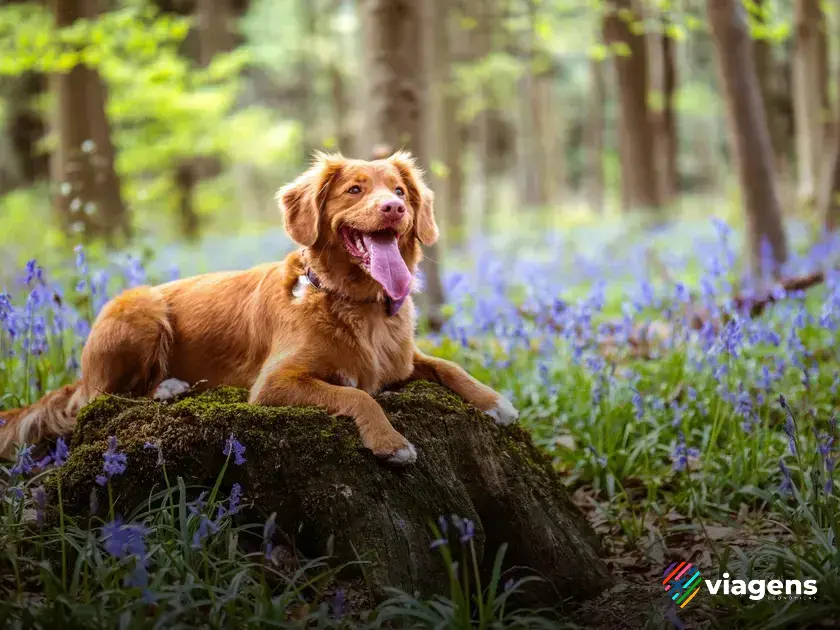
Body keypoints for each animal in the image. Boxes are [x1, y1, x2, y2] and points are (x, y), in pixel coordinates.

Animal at [0, 151, 520, 466]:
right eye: (354, 189)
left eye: (399, 191)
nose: (394, 208)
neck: (356, 304)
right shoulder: (274, 383)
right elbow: (359, 396)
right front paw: (390, 442)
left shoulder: (403, 360)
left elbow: (449, 366)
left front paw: (495, 401)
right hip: (140, 307)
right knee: (104, 397)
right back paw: (168, 387)